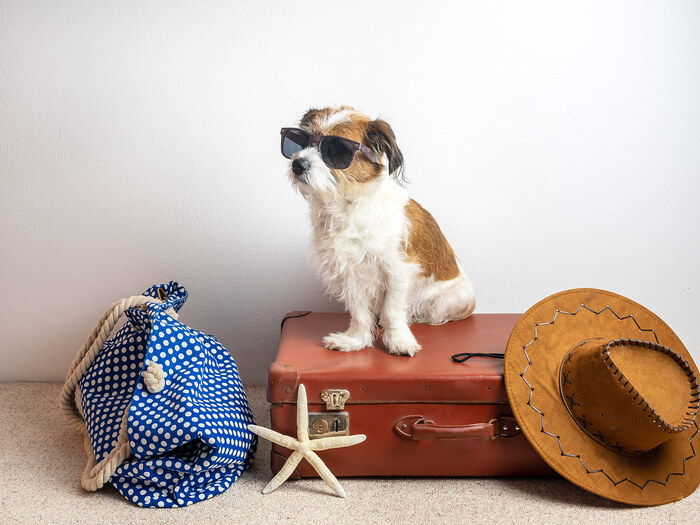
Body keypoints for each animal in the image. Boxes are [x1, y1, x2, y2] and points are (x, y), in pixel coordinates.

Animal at [280, 107, 476, 356]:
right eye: (300, 140)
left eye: (336, 150)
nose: (298, 164)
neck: (348, 206)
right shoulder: (349, 275)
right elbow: (359, 313)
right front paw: (356, 340)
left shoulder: (397, 271)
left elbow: (392, 310)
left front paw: (399, 341)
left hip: (448, 301)